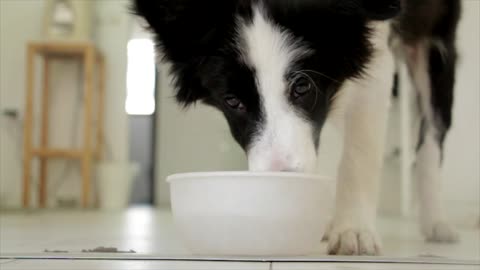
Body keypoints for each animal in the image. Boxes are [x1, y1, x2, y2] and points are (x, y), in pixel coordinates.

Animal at [131, 0, 462, 255]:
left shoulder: (373, 53)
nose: (280, 180)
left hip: (434, 44)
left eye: (303, 86)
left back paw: (437, 222)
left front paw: (353, 230)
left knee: (432, 133)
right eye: (232, 101)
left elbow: (359, 154)